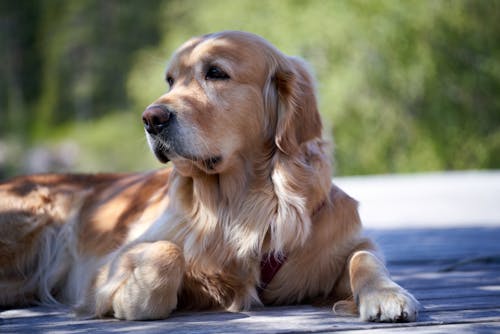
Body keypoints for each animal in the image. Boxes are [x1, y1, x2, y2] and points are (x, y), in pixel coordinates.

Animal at [0, 30, 418, 320]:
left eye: (215, 73)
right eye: (170, 81)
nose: (150, 118)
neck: (241, 207)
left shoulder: (341, 241)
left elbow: (364, 256)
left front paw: (386, 294)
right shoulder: (107, 265)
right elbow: (167, 254)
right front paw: (132, 297)